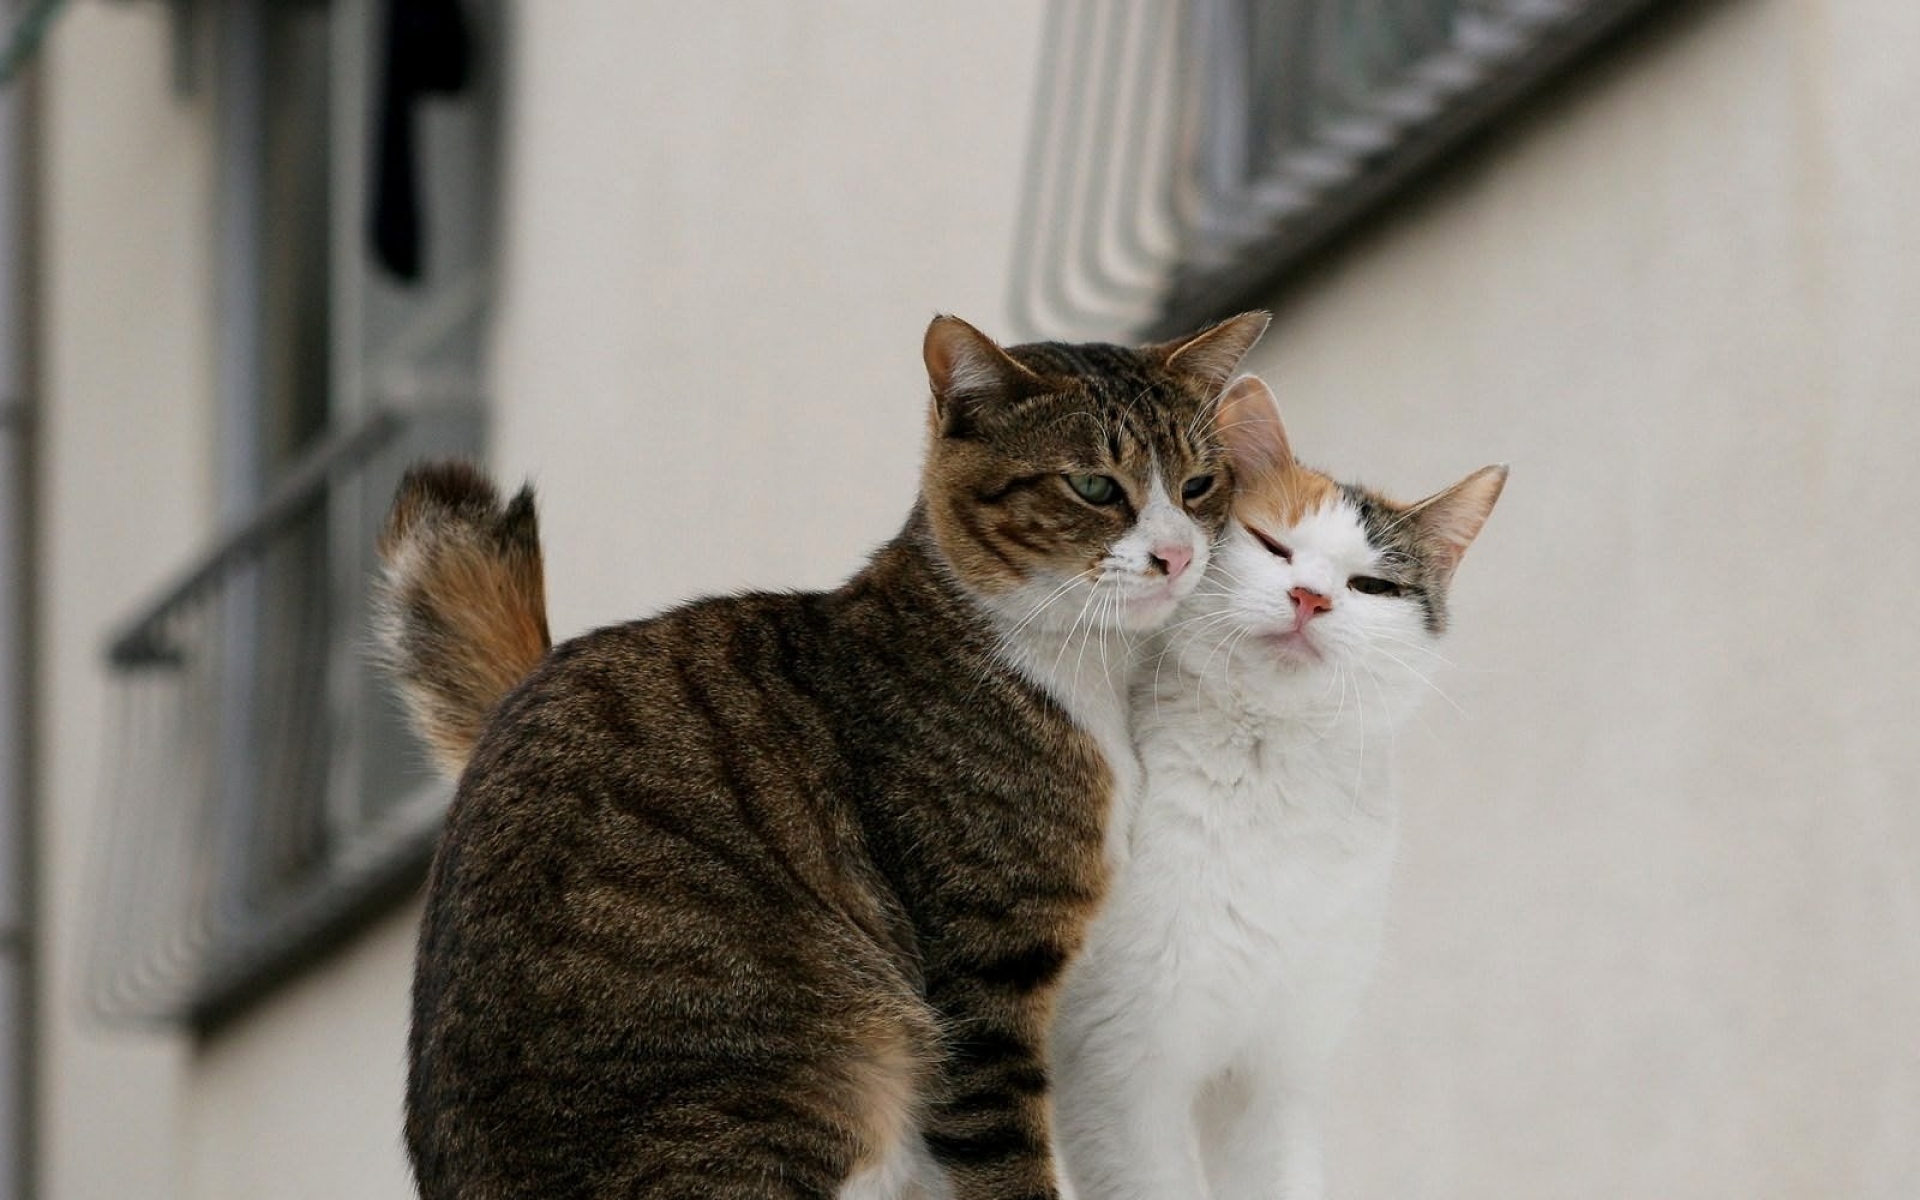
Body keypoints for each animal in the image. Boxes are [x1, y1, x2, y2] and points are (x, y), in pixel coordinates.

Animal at [380, 312, 1267, 1198]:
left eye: (1198, 486)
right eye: (1093, 486)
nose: (1177, 556)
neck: (1077, 667)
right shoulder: (981, 975)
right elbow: (1005, 1157)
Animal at [1052, 374, 1497, 1198]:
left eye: (1371, 585)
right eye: (1272, 544)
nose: (1311, 598)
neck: (1268, 774)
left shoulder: (1273, 1077)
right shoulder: (1117, 1069)